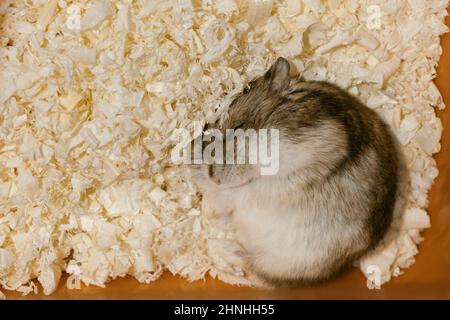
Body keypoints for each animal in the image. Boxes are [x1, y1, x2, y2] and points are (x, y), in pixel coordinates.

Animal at [192, 57, 400, 288]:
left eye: (238, 126)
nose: (212, 175)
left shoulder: (291, 176)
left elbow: (242, 193)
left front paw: (208, 207)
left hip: (285, 261)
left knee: (257, 271)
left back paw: (220, 245)